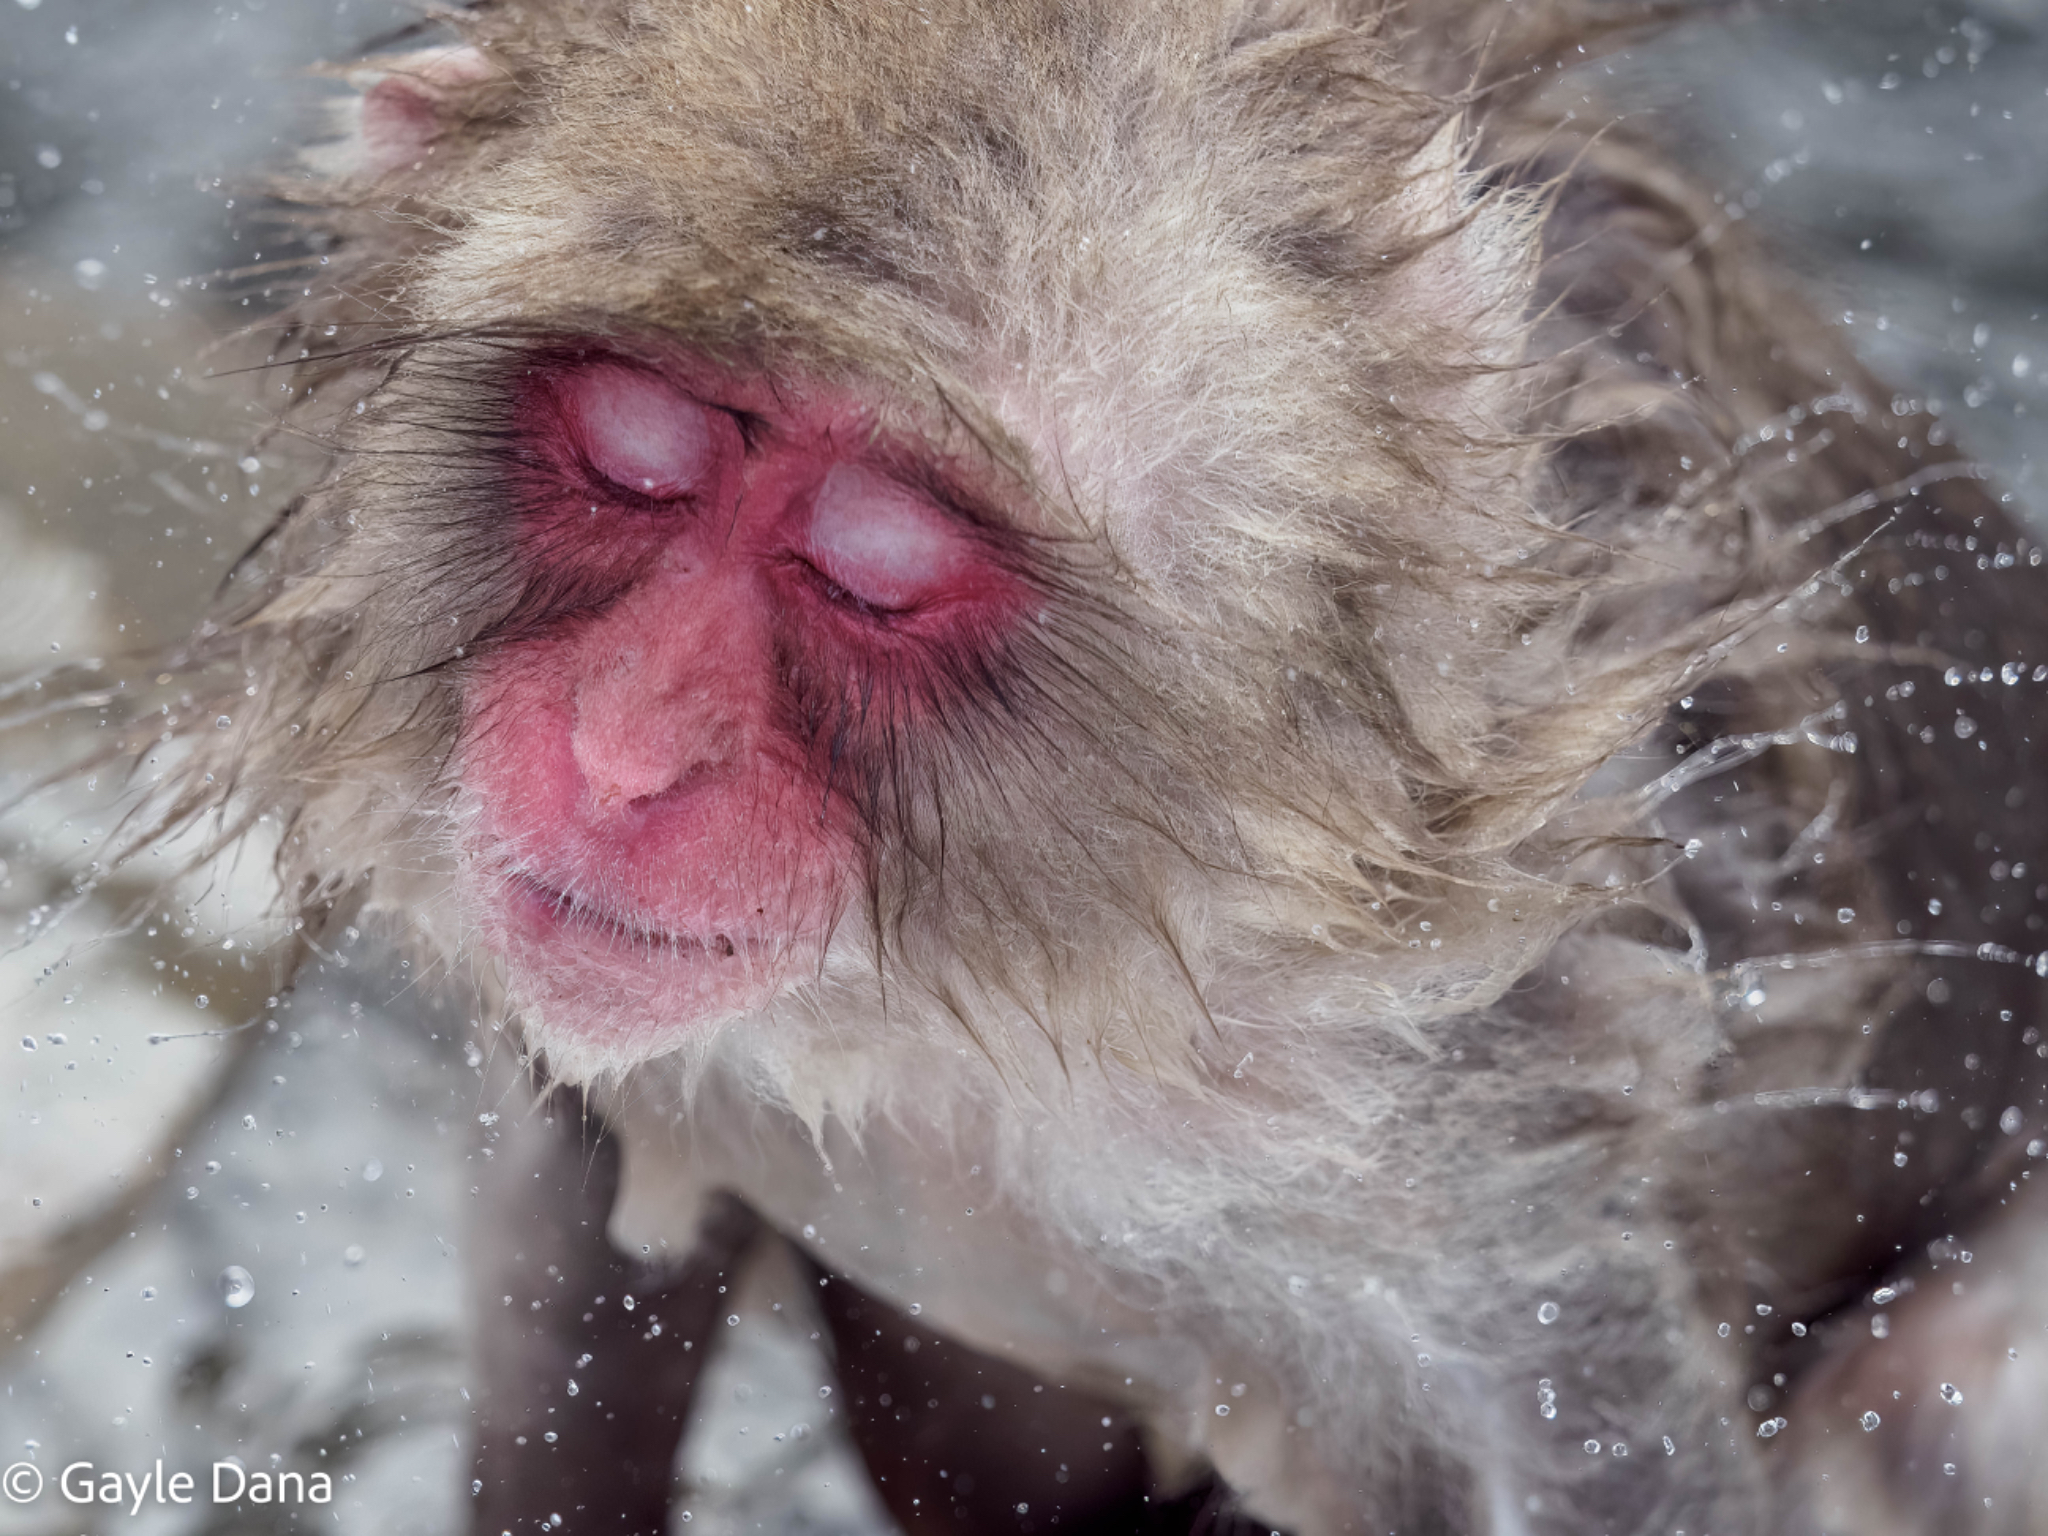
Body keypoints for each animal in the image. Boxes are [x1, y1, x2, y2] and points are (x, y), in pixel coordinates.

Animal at [32, 1, 2048, 1532]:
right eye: (632, 451)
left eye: (875, 562)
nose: (620, 754)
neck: (1002, 959)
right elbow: (576, 1228)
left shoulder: (1505, 1133)